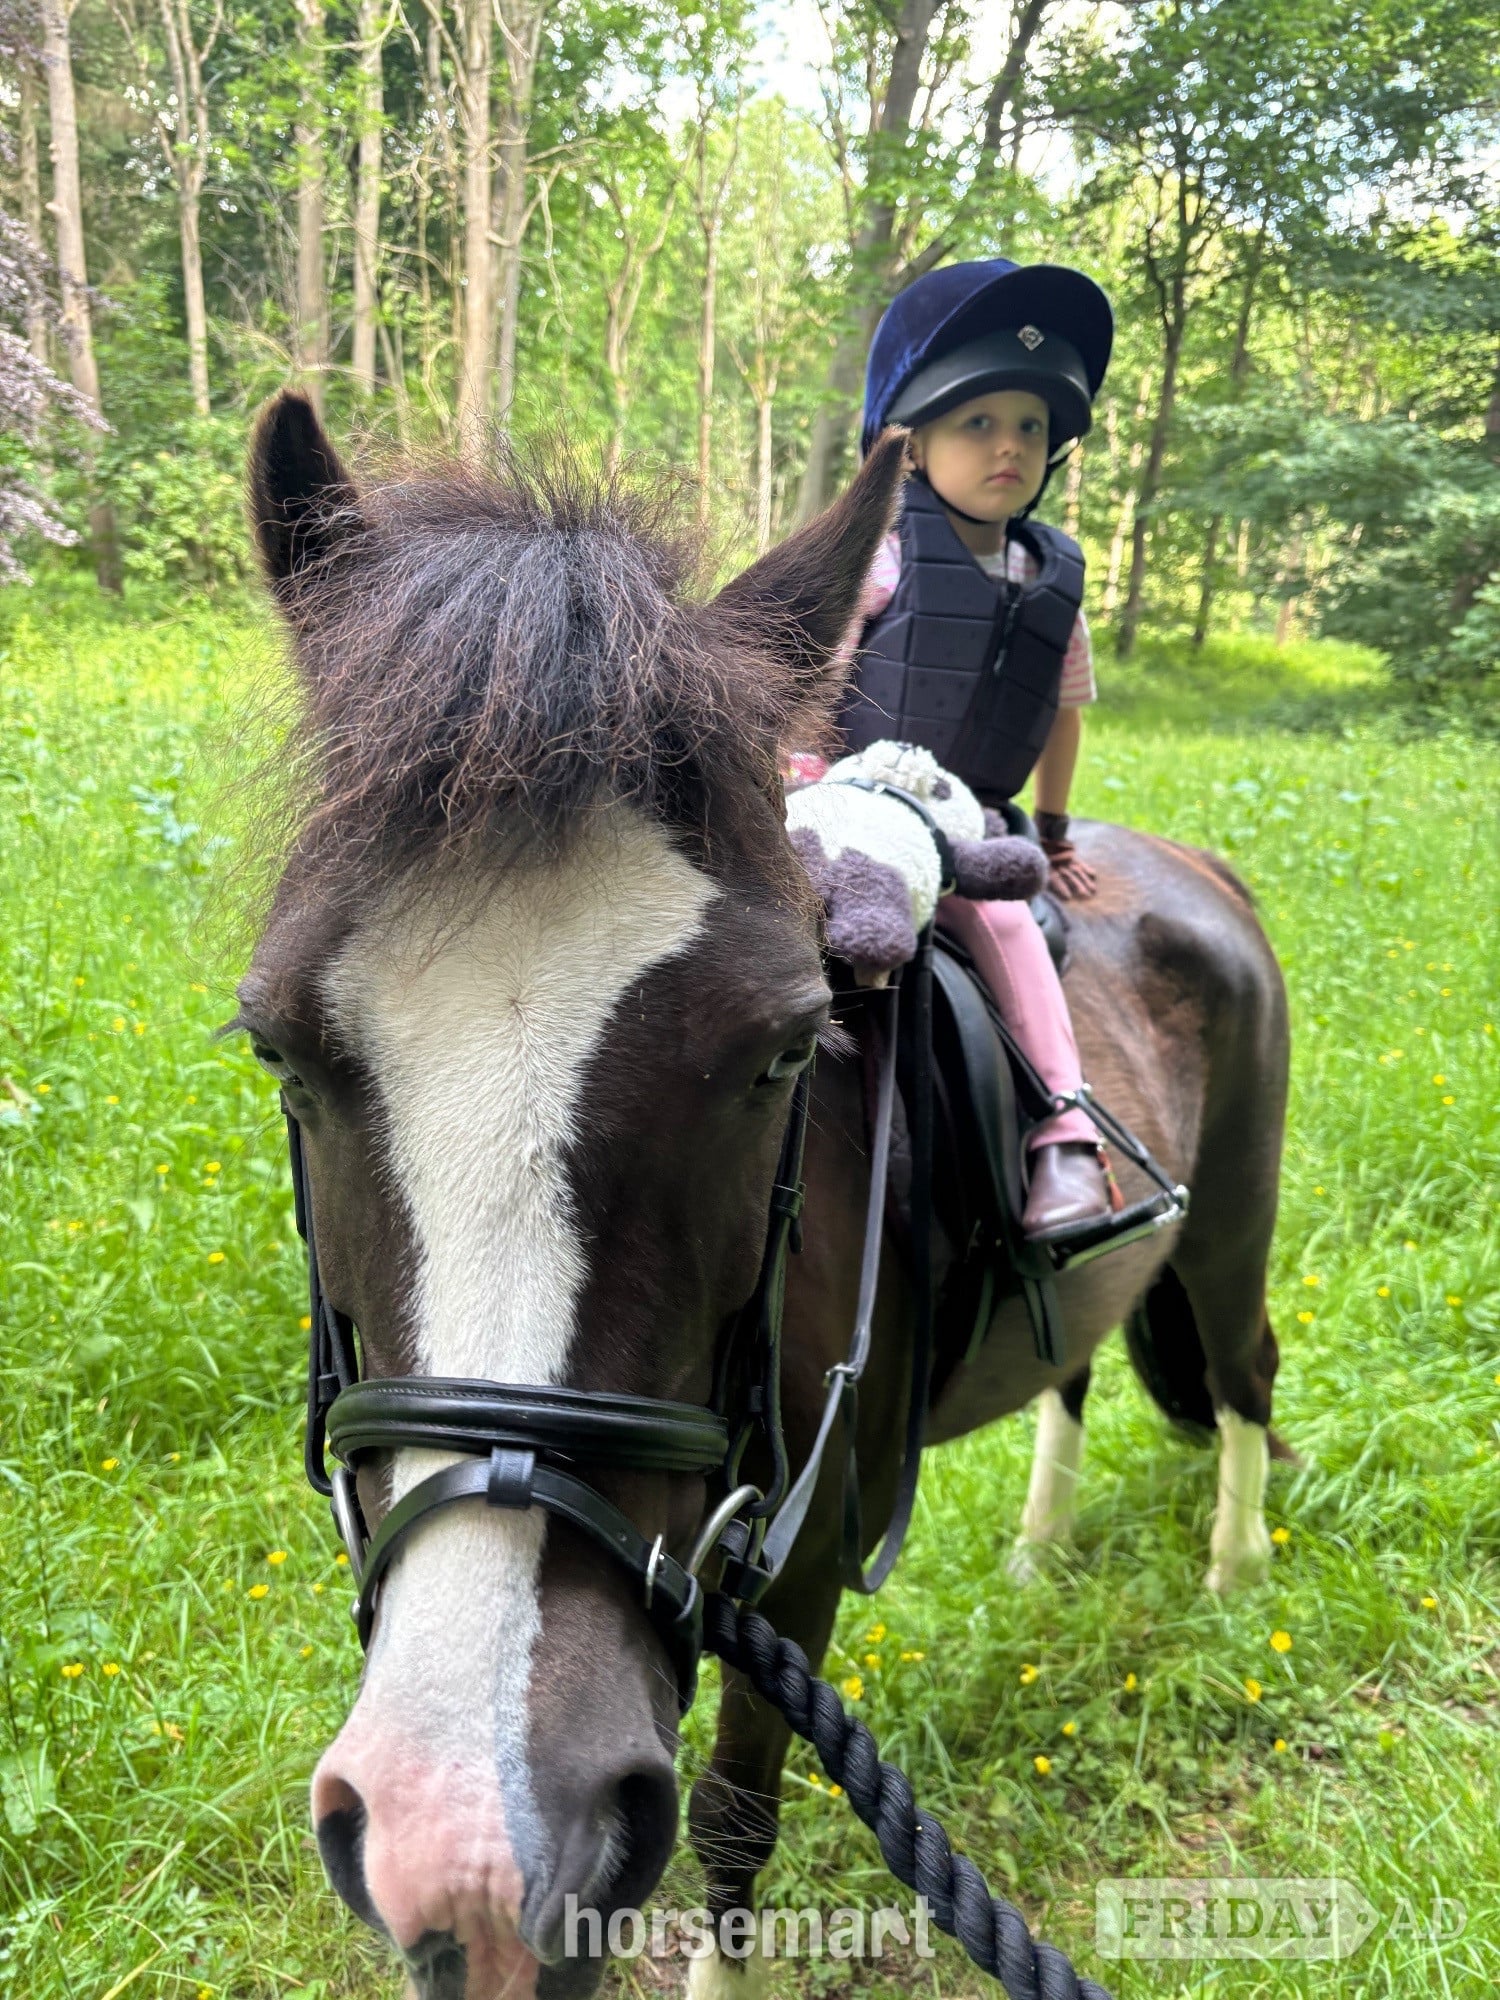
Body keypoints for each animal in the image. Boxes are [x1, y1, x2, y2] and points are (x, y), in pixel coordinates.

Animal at [237, 390, 1289, 2000]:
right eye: (279, 1044)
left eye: (787, 1047)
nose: (475, 1844)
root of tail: (1196, 869)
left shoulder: (796, 1575)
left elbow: (732, 1822)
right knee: (1078, 1371)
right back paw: (1041, 1550)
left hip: (1229, 1232)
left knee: (1238, 1380)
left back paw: (1233, 1579)